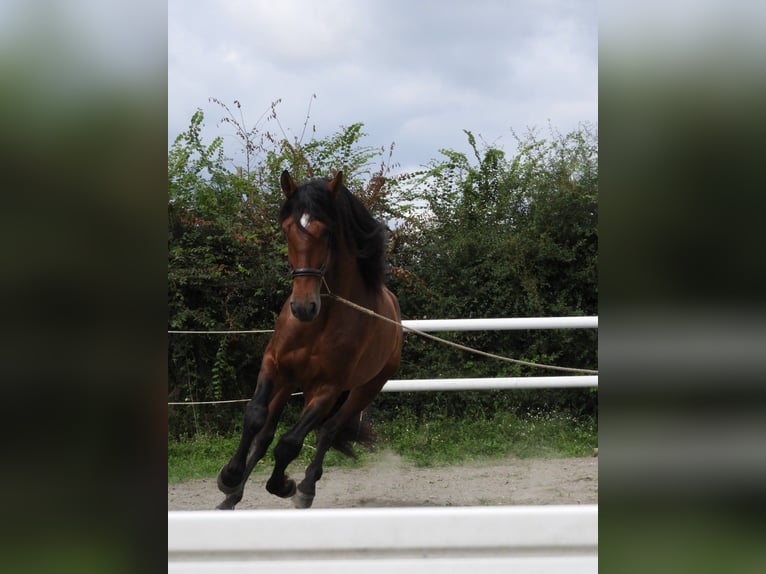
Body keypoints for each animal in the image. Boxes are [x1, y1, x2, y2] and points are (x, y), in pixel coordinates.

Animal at [216, 169, 404, 510]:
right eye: (287, 230)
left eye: (327, 232)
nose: (304, 307)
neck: (319, 323)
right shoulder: (274, 366)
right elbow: (255, 418)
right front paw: (230, 477)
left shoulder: (327, 388)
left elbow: (290, 443)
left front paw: (285, 485)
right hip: (291, 382)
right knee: (266, 432)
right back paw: (233, 496)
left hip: (364, 388)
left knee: (328, 431)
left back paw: (305, 488)